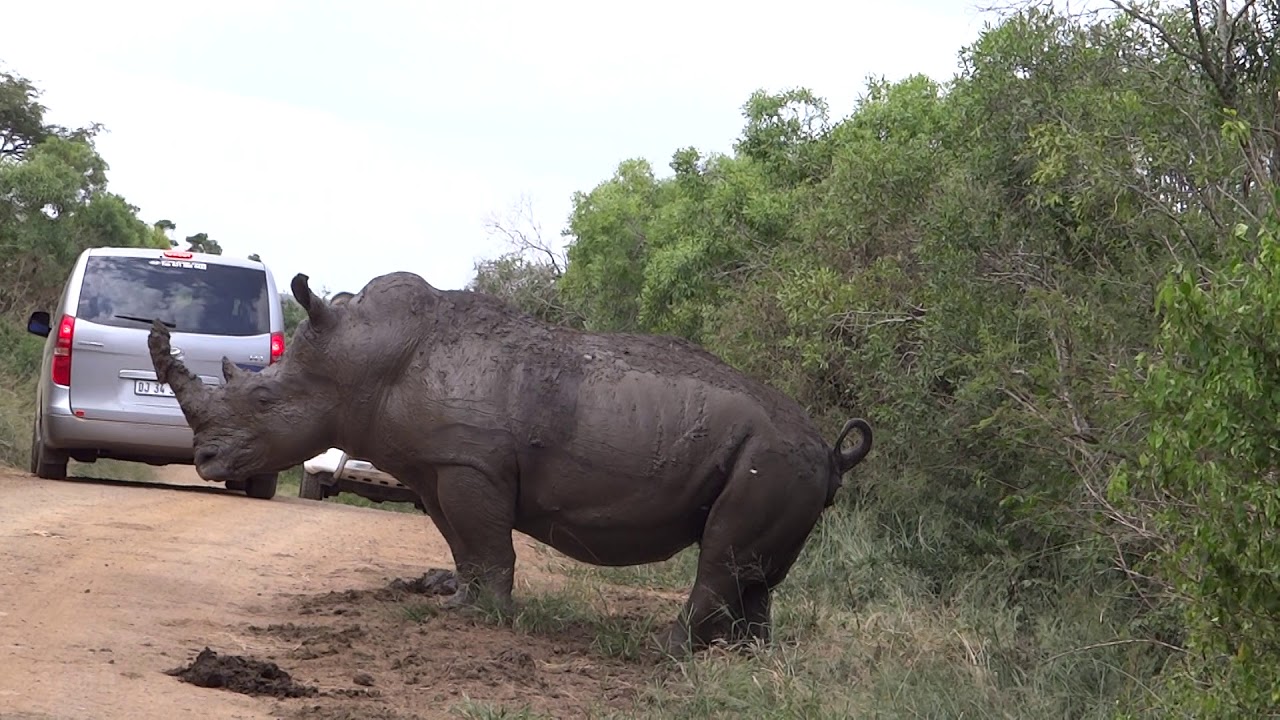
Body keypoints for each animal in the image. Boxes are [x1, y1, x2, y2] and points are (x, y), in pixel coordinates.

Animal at [147, 271, 872, 653]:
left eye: (264, 400)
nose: (204, 459)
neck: (364, 361)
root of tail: (829, 451)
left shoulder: (470, 464)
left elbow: (487, 541)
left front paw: (482, 620)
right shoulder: (438, 465)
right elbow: (464, 541)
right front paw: (458, 602)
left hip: (774, 458)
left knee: (722, 556)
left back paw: (663, 651)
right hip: (786, 465)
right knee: (754, 567)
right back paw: (742, 656)